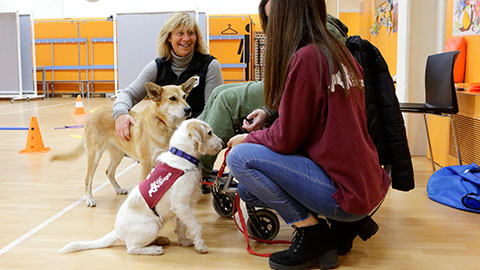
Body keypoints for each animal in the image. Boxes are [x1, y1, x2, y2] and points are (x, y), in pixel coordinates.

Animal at [51, 77, 197, 208]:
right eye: (172, 98)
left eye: (184, 96)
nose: (188, 109)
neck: (164, 125)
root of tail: (93, 114)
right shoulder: (146, 163)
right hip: (95, 155)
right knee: (88, 179)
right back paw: (89, 199)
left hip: (118, 154)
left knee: (109, 172)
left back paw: (118, 189)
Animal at [59, 119, 223, 255]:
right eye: (209, 132)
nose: (222, 143)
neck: (182, 157)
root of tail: (117, 231)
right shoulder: (182, 205)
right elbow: (196, 226)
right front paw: (201, 246)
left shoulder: (184, 208)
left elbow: (183, 226)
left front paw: (185, 241)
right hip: (152, 225)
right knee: (132, 248)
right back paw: (154, 249)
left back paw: (161, 240)